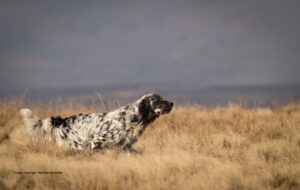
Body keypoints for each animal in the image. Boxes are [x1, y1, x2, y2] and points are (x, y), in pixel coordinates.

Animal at [19, 94, 173, 151]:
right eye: (157, 100)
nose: (171, 103)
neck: (132, 117)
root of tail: (62, 121)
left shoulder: (125, 147)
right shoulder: (97, 142)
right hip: (79, 145)